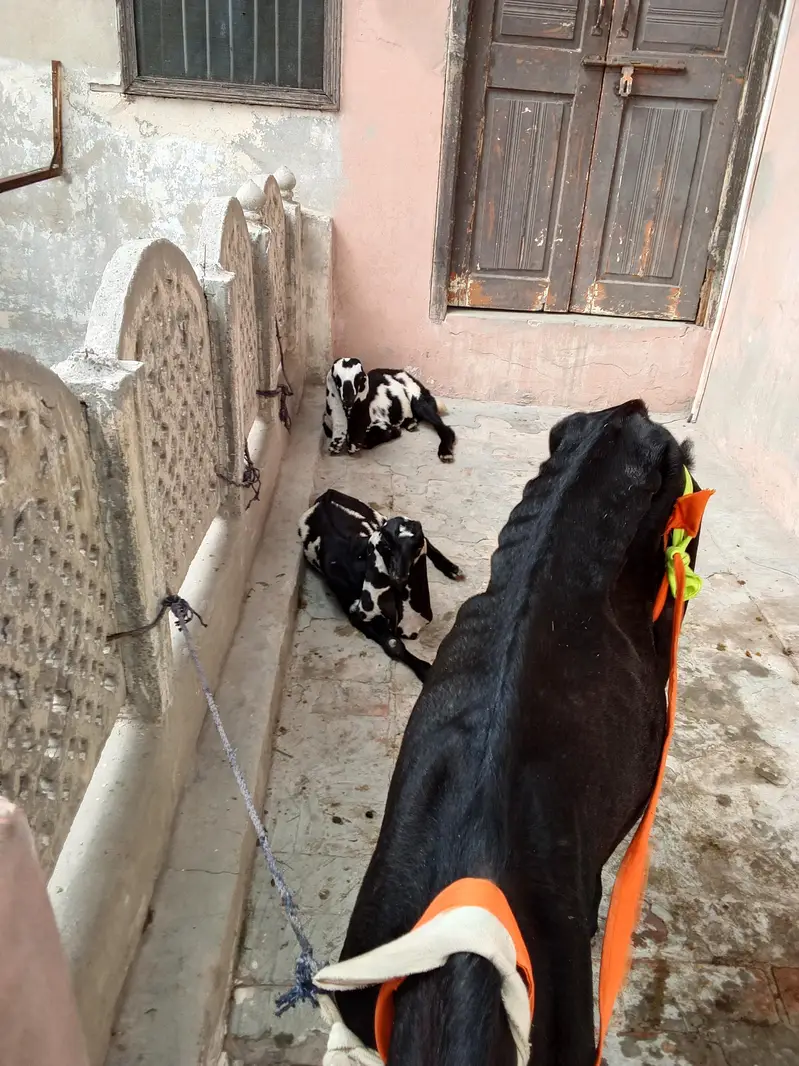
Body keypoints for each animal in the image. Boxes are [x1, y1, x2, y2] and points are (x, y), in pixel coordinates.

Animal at [298, 489, 463, 682]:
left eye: (416, 547)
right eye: (387, 545)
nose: (399, 575)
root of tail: (328, 493)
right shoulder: (356, 613)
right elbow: (392, 643)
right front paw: (425, 669)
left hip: (378, 516)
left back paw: (452, 569)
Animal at [323, 358, 457, 463]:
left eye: (359, 377)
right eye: (336, 378)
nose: (348, 399)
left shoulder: (382, 425)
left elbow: (371, 439)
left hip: (419, 402)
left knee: (445, 428)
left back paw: (445, 452)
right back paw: (410, 423)